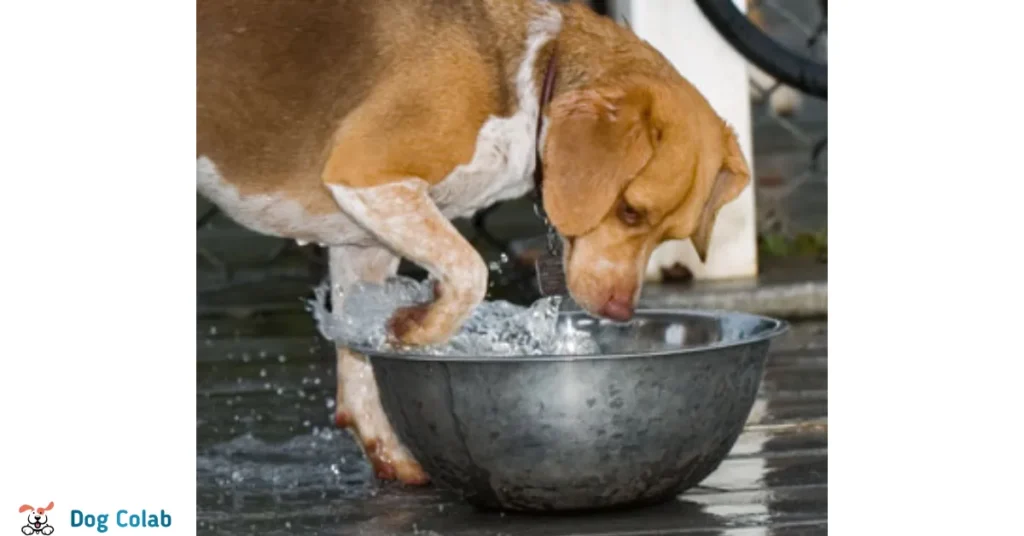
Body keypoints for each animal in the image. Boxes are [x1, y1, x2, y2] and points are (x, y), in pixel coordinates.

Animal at [195, 0, 753, 483]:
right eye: (630, 210)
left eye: (671, 235)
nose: (620, 312)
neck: (534, 71)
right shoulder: (366, 178)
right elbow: (470, 271)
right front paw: (416, 327)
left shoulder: (363, 239)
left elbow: (357, 364)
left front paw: (394, 456)